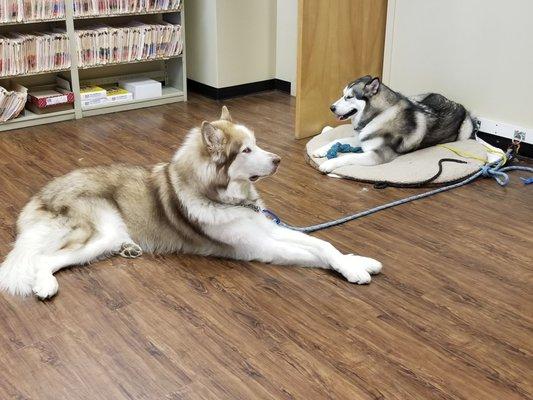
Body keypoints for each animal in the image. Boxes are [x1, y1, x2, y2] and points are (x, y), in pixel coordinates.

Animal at [0, 104, 382, 298]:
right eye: (246, 150)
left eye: (256, 143)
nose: (278, 160)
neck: (227, 197)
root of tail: (43, 193)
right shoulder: (261, 246)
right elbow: (311, 253)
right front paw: (354, 271)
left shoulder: (268, 228)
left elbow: (323, 244)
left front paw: (358, 261)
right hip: (99, 232)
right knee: (45, 259)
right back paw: (45, 284)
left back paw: (129, 249)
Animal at [314, 76, 476, 173]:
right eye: (343, 95)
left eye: (349, 97)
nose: (331, 108)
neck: (378, 115)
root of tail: (458, 105)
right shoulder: (363, 138)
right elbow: (337, 140)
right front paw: (320, 150)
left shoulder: (377, 155)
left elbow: (348, 157)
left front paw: (328, 164)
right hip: (417, 98)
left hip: (466, 130)